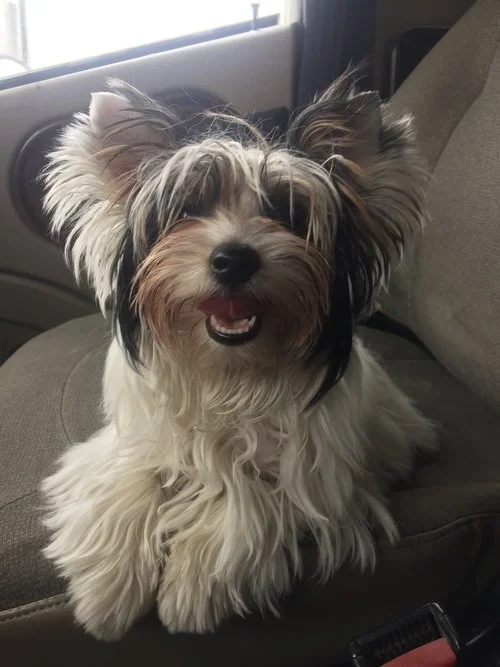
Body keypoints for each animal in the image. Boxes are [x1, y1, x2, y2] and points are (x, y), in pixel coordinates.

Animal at [41, 72, 437, 641]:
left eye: (289, 213)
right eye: (187, 209)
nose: (233, 258)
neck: (228, 369)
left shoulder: (320, 475)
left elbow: (251, 490)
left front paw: (192, 583)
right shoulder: (135, 438)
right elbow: (134, 473)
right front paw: (108, 590)